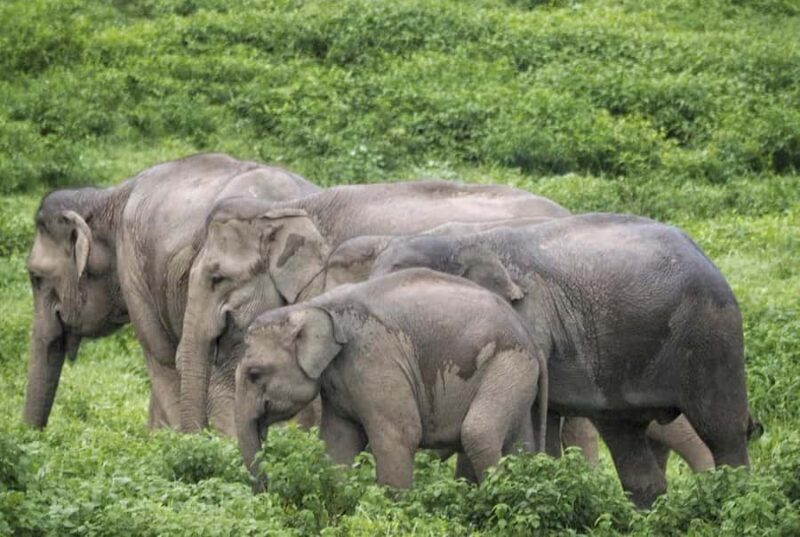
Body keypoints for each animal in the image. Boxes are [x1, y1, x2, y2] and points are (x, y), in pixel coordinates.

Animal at [235, 268, 548, 492]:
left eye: (254, 374)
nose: (268, 490)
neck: (314, 306)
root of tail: (531, 338)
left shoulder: (374, 357)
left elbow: (399, 435)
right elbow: (338, 444)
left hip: (509, 363)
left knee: (478, 433)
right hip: (516, 374)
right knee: (516, 444)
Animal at [370, 213, 752, 508]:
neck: (463, 239)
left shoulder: (527, 319)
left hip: (712, 336)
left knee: (723, 431)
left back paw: (732, 497)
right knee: (625, 437)